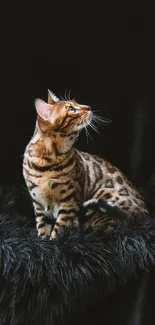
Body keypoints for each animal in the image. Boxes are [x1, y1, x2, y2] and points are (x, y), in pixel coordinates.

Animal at [22, 89, 148, 238]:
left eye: (76, 103)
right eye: (71, 109)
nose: (88, 107)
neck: (47, 161)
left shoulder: (69, 201)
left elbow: (59, 228)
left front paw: (56, 241)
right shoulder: (38, 203)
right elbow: (43, 228)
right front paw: (43, 241)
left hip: (105, 195)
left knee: (109, 227)